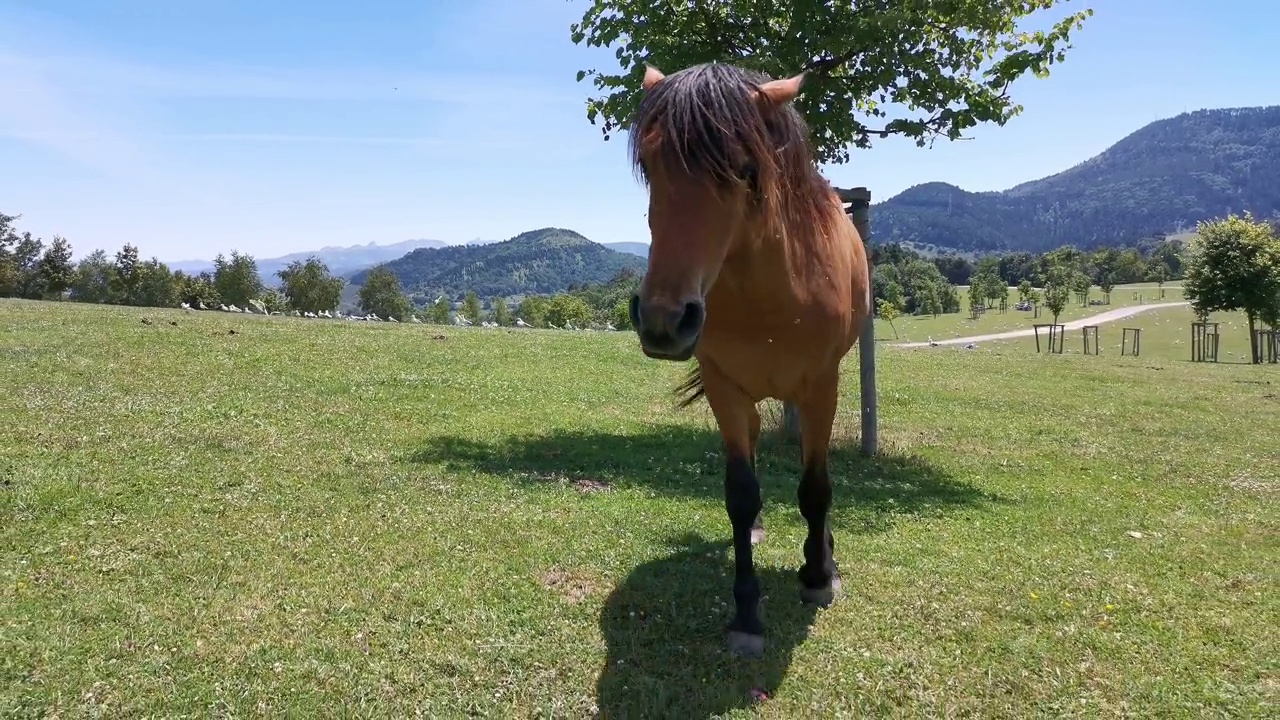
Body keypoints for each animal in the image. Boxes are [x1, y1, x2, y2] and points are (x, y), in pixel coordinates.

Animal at [627, 61, 875, 655]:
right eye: (648, 166)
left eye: (743, 170)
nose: (663, 321)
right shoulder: (725, 389)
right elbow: (740, 494)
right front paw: (746, 614)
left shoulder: (821, 387)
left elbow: (816, 487)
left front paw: (818, 576)